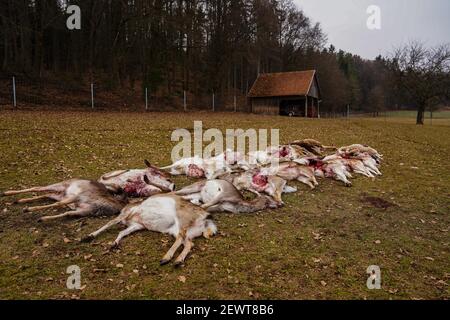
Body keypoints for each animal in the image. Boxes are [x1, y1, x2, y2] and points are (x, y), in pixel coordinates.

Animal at [84, 194, 220, 266]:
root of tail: (205, 220)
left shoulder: (127, 214)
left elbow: (110, 222)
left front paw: (88, 236)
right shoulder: (137, 225)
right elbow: (122, 232)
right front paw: (114, 244)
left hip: (182, 220)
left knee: (181, 238)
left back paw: (166, 258)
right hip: (183, 231)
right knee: (189, 243)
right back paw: (177, 260)